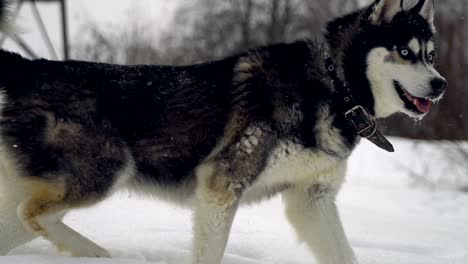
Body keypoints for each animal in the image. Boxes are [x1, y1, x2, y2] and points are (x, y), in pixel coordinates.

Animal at [0, 0, 446, 264]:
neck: (335, 87)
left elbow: (343, 253)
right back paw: (100, 254)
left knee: (25, 218)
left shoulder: (312, 200)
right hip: (105, 171)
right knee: (32, 214)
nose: (441, 84)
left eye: (430, 54)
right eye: (404, 52)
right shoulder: (222, 186)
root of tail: (31, 67)